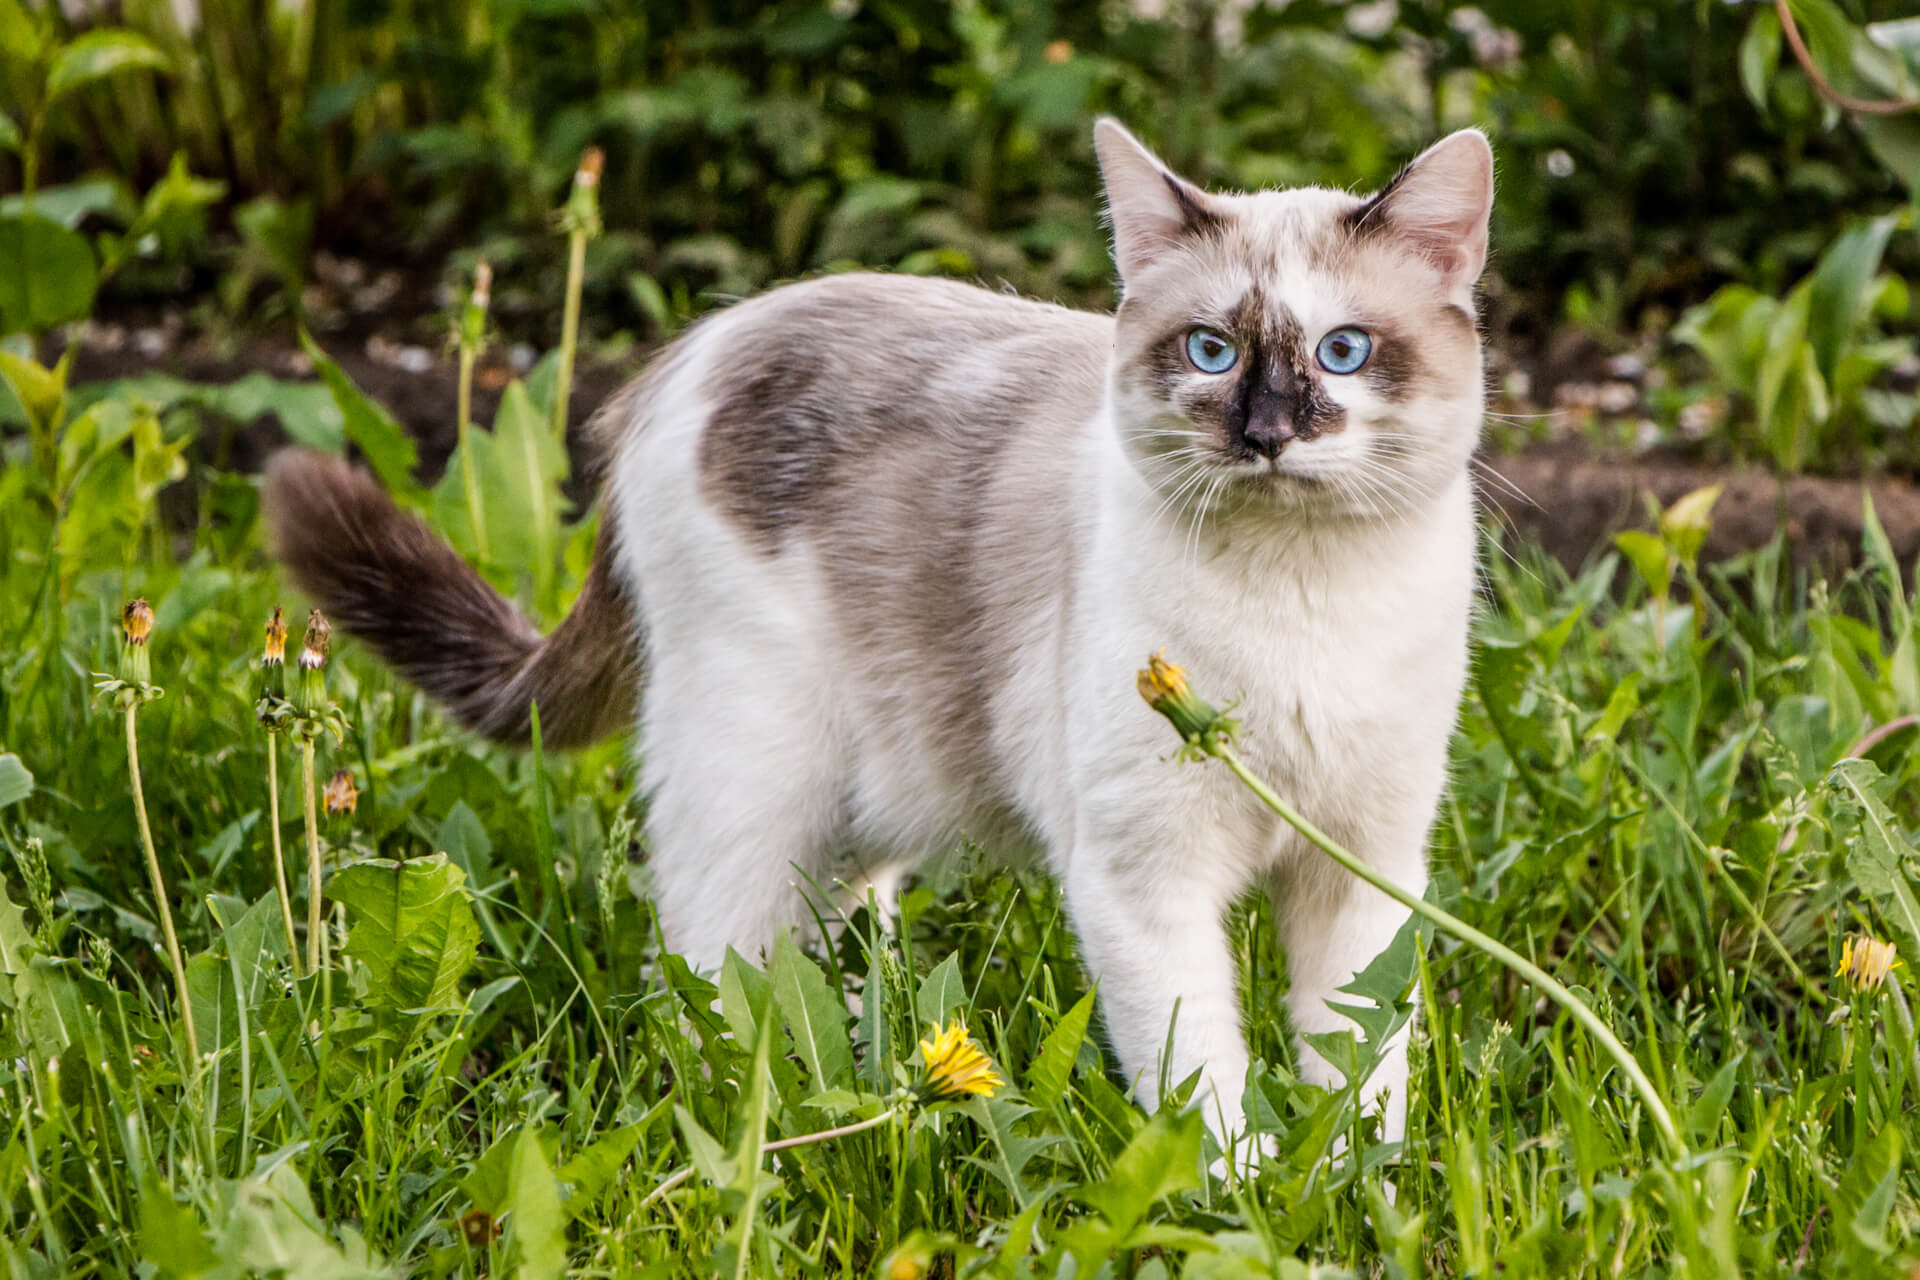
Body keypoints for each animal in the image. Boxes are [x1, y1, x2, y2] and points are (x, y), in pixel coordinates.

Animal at [270, 119, 1489, 1159]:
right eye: (1210, 352)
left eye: (1343, 353)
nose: (1267, 435)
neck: (1300, 600)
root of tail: (685, 356)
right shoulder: (1146, 879)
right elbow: (1203, 1087)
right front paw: (1243, 1197)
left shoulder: (1364, 871)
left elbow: (1361, 1074)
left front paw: (1354, 1195)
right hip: (761, 784)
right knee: (708, 979)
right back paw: (761, 1122)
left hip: (870, 800)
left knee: (829, 953)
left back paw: (866, 1080)